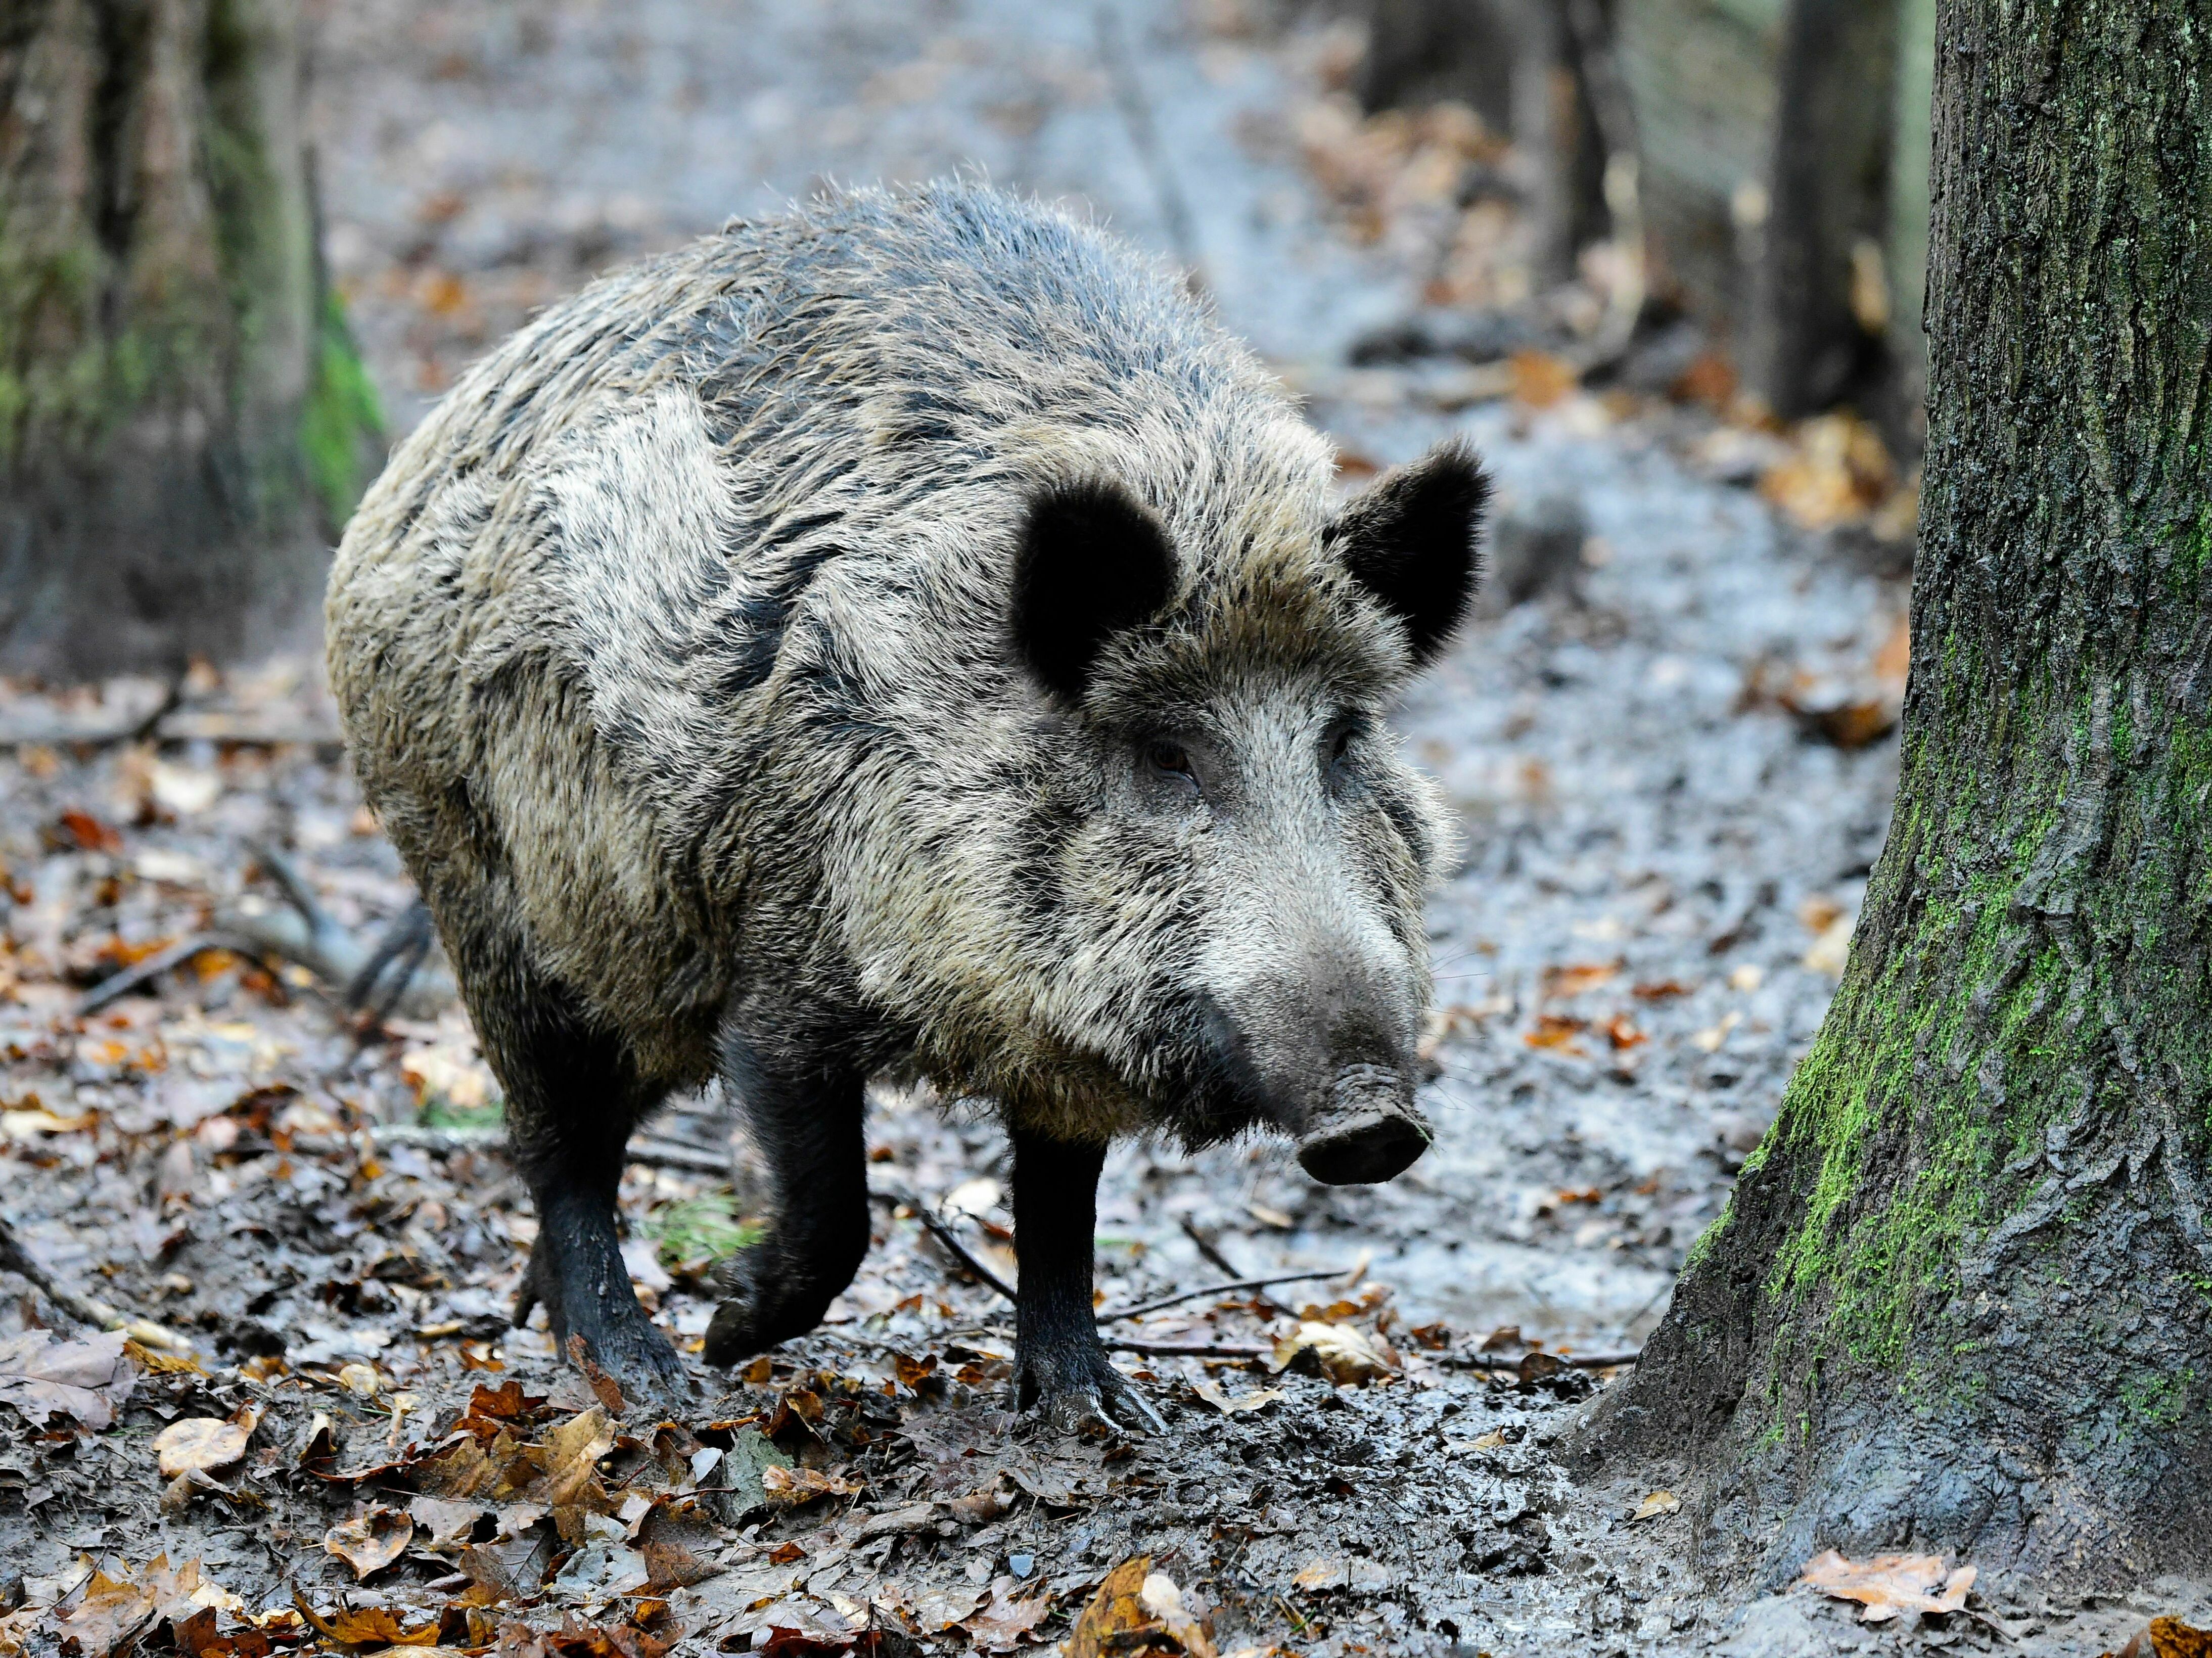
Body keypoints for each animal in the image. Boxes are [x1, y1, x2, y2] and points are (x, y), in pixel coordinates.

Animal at [325, 183, 1486, 1431]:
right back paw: (645, 1378)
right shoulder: (780, 977)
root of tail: (396, 485)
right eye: (1167, 753)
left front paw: (1101, 1412)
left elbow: (1061, 1209)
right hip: (491, 899)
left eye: (1344, 738)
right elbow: (837, 1206)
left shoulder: (1059, 1048)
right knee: (558, 1145)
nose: (1375, 1122)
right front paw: (730, 1333)